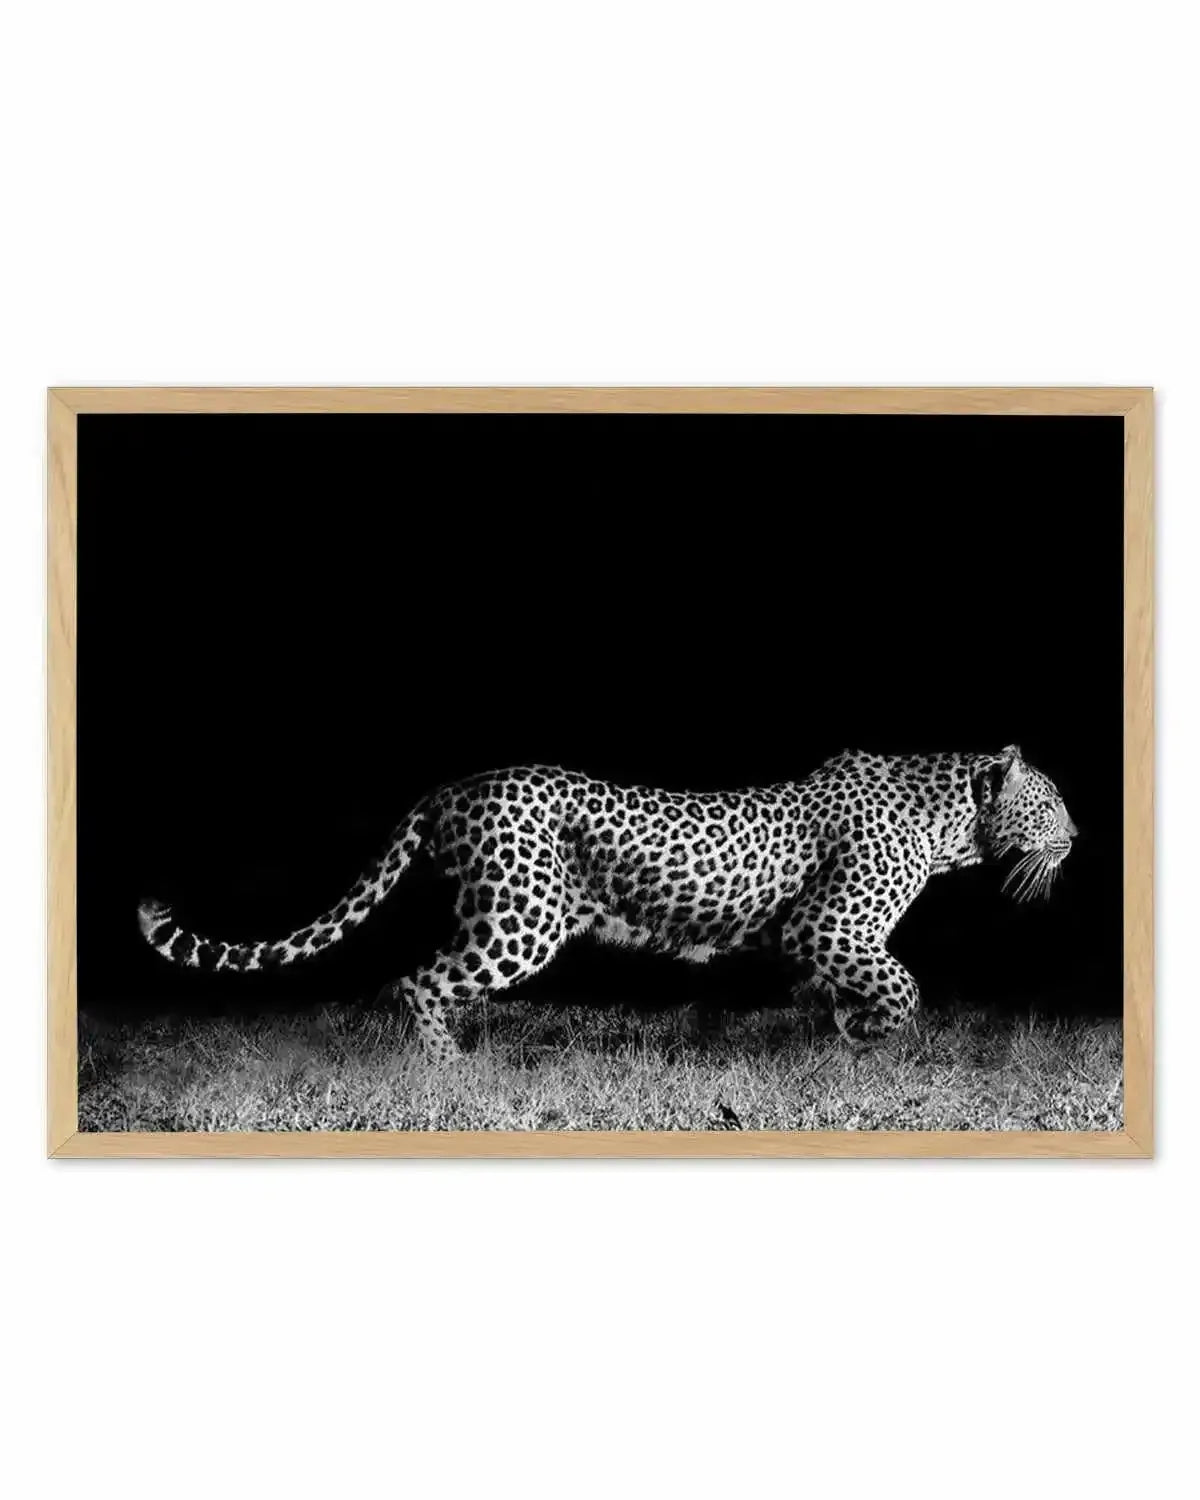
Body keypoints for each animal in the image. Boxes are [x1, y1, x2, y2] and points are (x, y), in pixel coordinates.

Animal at [138, 744, 1077, 1061]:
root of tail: (451, 787)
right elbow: (904, 985)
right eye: (1054, 802)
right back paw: (450, 1070)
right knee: (418, 981)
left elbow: (846, 990)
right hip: (522, 919)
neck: (952, 822)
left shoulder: (822, 941)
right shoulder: (828, 926)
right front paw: (873, 1034)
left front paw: (844, 1031)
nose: (1080, 833)